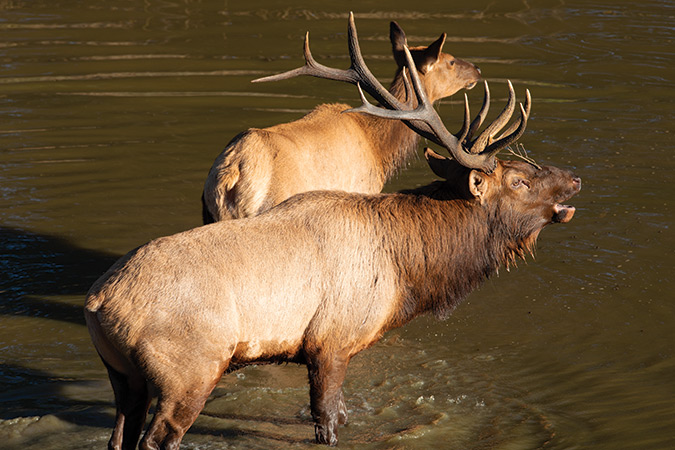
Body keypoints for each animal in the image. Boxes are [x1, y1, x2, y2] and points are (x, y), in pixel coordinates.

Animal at [84, 41, 581, 449]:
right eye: (519, 180)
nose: (574, 178)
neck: (408, 272)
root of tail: (98, 302)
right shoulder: (331, 341)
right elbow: (326, 424)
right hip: (188, 371)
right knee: (156, 439)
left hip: (124, 377)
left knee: (119, 436)